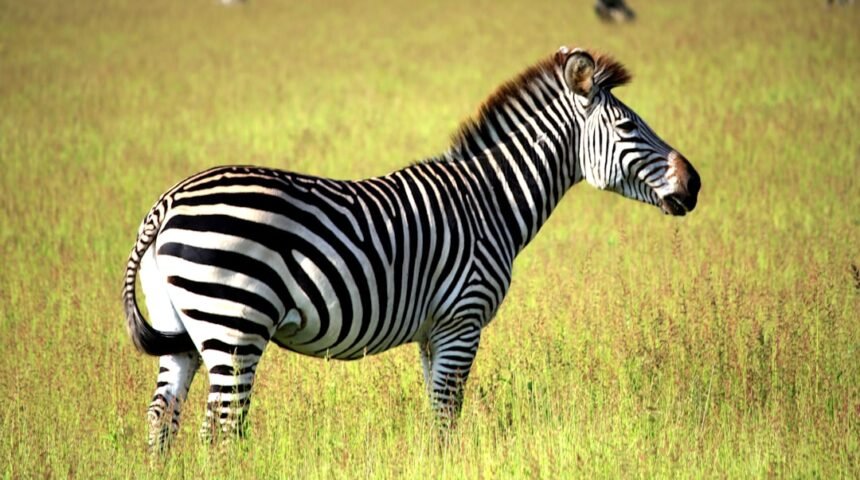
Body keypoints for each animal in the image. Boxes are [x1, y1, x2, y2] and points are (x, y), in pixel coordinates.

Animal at [123, 46, 700, 451]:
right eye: (629, 125)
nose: (694, 183)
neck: (490, 201)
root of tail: (166, 204)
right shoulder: (463, 321)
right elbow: (447, 419)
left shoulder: (433, 332)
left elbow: (434, 414)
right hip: (234, 327)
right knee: (220, 430)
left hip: (182, 331)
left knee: (161, 420)